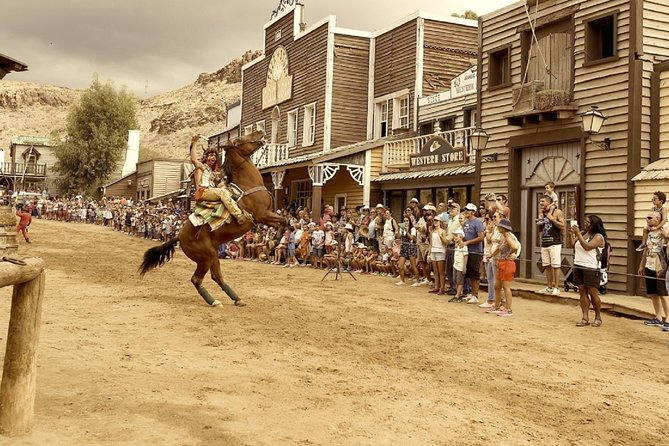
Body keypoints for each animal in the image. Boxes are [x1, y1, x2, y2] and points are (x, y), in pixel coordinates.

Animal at [140, 131, 286, 306]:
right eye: (239, 139)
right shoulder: (262, 215)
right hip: (207, 257)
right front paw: (271, 245)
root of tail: (179, 236)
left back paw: (237, 299)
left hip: (214, 255)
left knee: (216, 277)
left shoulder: (265, 216)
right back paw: (214, 301)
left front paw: (269, 245)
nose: (261, 132)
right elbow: (283, 220)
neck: (247, 185)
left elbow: (283, 221)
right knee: (197, 279)